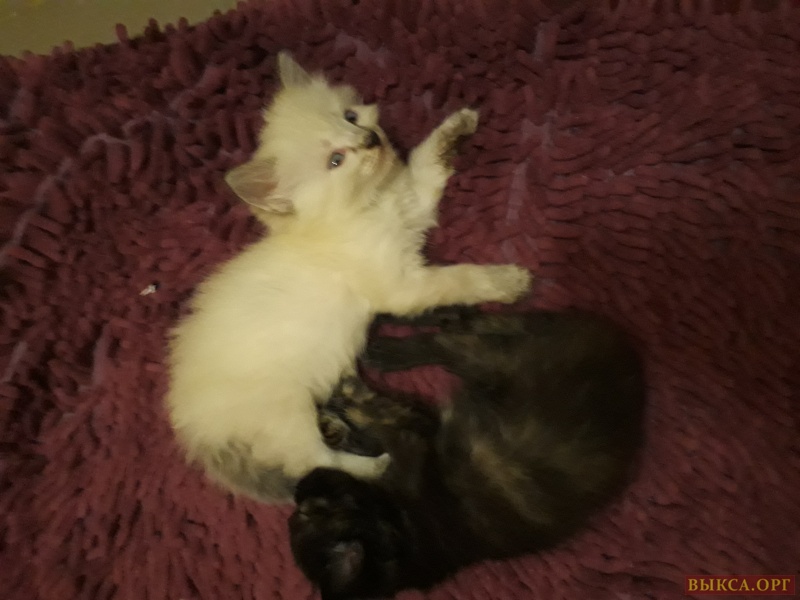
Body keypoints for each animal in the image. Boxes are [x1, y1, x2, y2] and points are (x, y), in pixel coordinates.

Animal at [165, 54, 532, 502]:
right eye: (336, 161)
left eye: (351, 116)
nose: (370, 139)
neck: (367, 206)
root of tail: (192, 429)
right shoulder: (402, 285)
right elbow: (459, 278)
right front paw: (511, 280)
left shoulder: (414, 207)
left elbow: (427, 159)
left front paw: (459, 122)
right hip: (287, 412)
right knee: (309, 463)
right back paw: (376, 466)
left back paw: (337, 427)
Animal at [289, 307, 647, 598]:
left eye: (306, 512)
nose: (301, 487)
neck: (401, 529)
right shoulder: (420, 426)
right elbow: (374, 428)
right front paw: (338, 418)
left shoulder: (416, 436)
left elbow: (374, 418)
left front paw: (341, 399)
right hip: (501, 358)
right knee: (467, 327)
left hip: (499, 362)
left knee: (455, 338)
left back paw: (390, 344)